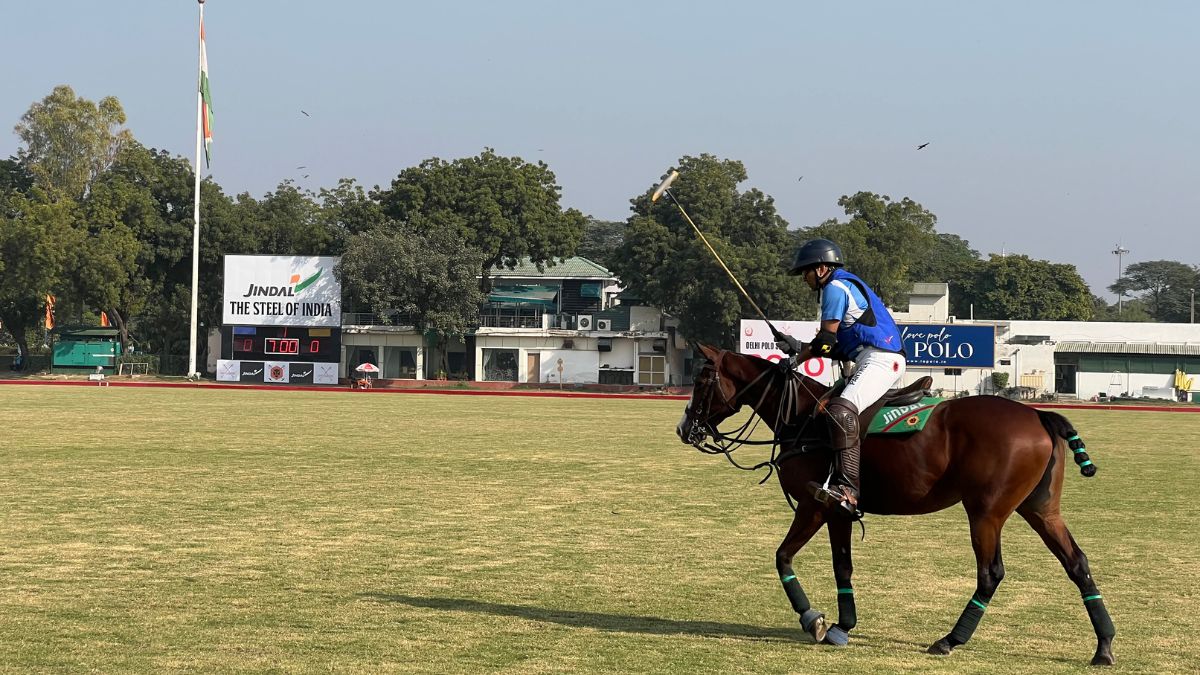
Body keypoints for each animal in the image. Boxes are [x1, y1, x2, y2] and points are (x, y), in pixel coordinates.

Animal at [676, 343, 1113, 662]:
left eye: (702, 379)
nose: (684, 429)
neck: (800, 416)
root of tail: (1039, 415)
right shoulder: (838, 510)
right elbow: (842, 567)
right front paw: (842, 625)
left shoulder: (814, 505)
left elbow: (782, 557)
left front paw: (813, 619)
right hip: (1039, 509)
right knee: (1077, 563)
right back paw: (1104, 646)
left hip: (986, 512)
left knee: (991, 574)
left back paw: (950, 639)